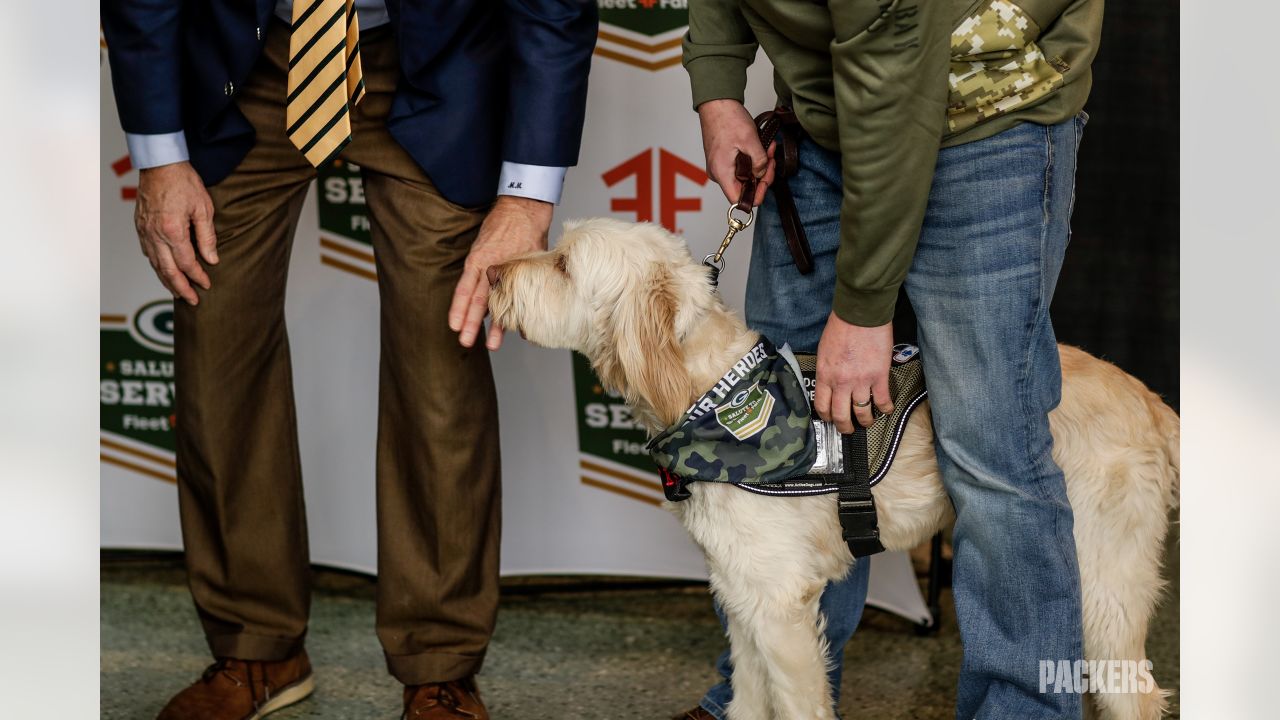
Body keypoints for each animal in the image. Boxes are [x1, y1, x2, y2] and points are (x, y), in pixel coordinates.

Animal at [488, 217, 1177, 717]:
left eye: (563, 263)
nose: (491, 269)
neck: (713, 394)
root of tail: (1145, 395)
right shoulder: (742, 596)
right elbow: (749, 703)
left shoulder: (781, 608)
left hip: (1104, 585)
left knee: (1136, 693)